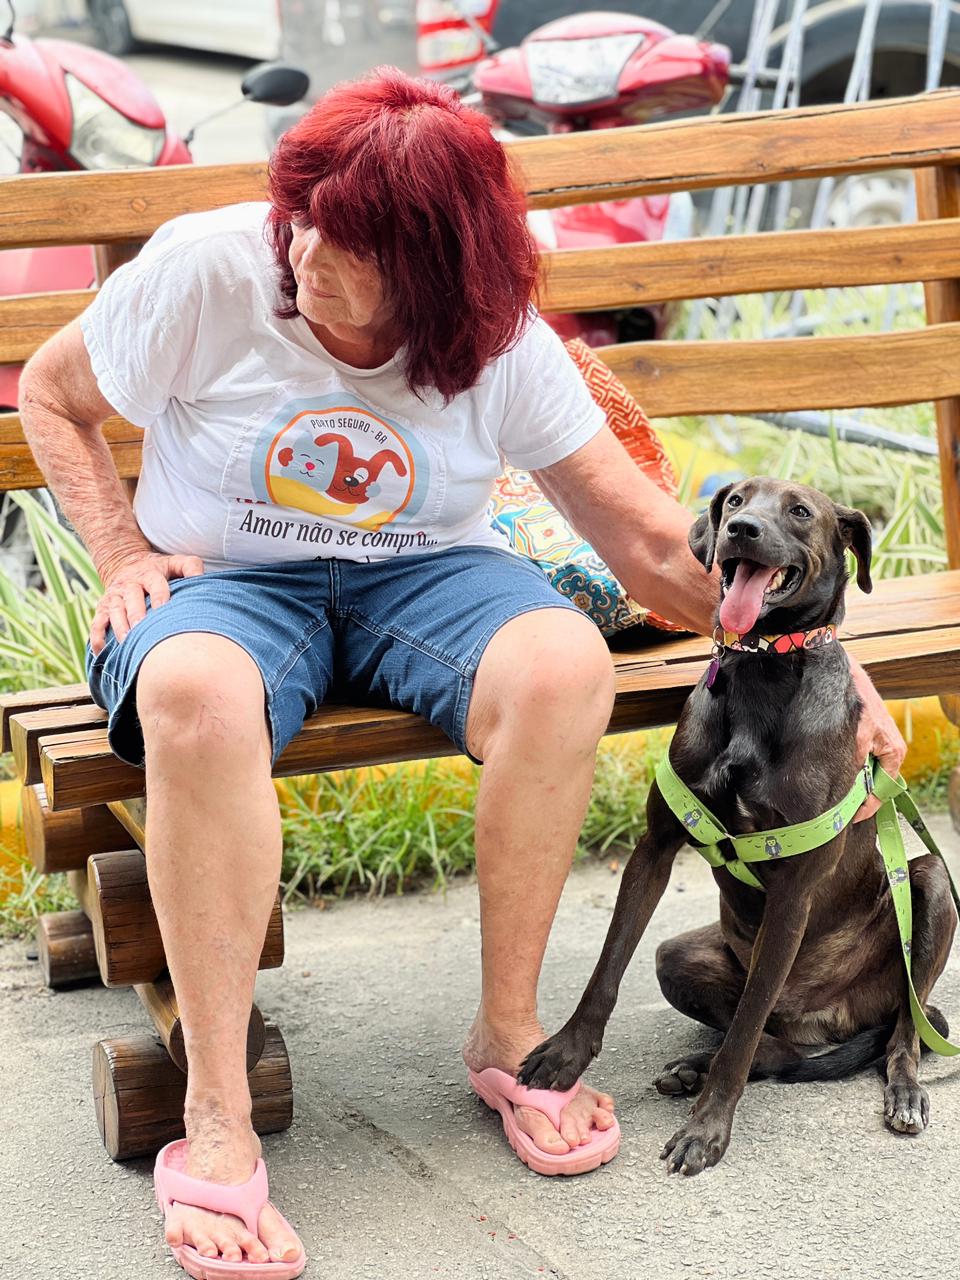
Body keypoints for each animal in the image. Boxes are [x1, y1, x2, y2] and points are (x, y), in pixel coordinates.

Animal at [519, 477, 957, 1175]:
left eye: (800, 511)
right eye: (734, 500)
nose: (741, 530)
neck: (762, 671)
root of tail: (825, 1020)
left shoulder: (793, 894)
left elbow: (745, 1029)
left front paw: (707, 1129)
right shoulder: (654, 849)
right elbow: (608, 967)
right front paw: (566, 1052)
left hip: (932, 891)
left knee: (900, 1028)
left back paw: (904, 1088)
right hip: (680, 959)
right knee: (778, 1047)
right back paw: (694, 1068)